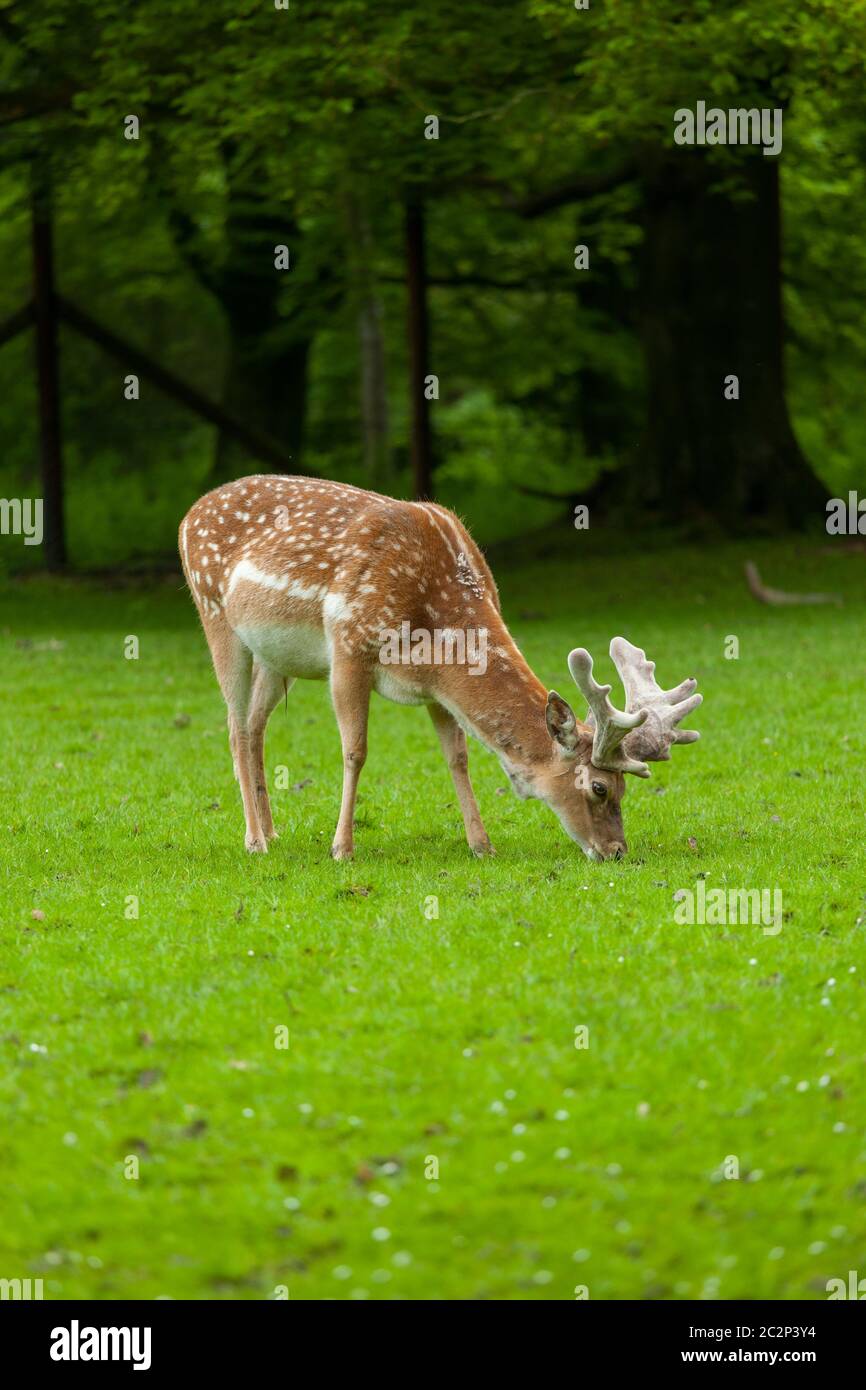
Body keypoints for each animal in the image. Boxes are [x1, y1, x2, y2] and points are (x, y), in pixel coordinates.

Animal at [179, 475, 700, 856]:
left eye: (625, 788)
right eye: (599, 788)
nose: (616, 851)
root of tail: (188, 515)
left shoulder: (436, 685)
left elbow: (458, 756)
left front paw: (482, 844)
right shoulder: (348, 645)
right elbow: (355, 751)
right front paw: (342, 848)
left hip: (274, 658)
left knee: (255, 726)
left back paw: (272, 831)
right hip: (214, 615)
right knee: (234, 726)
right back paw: (254, 841)